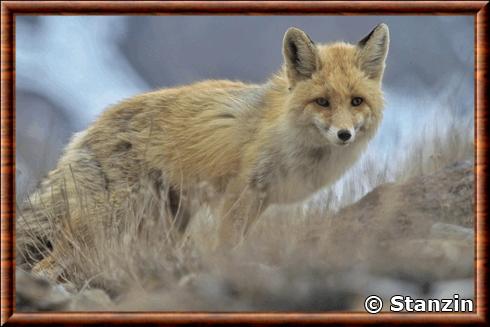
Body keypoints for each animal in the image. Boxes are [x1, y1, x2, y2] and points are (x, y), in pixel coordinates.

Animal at [17, 23, 388, 280]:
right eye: (323, 102)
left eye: (356, 101)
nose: (344, 134)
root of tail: (91, 125)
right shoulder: (243, 191)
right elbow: (228, 243)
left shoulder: (261, 200)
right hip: (111, 214)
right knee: (49, 261)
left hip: (167, 219)